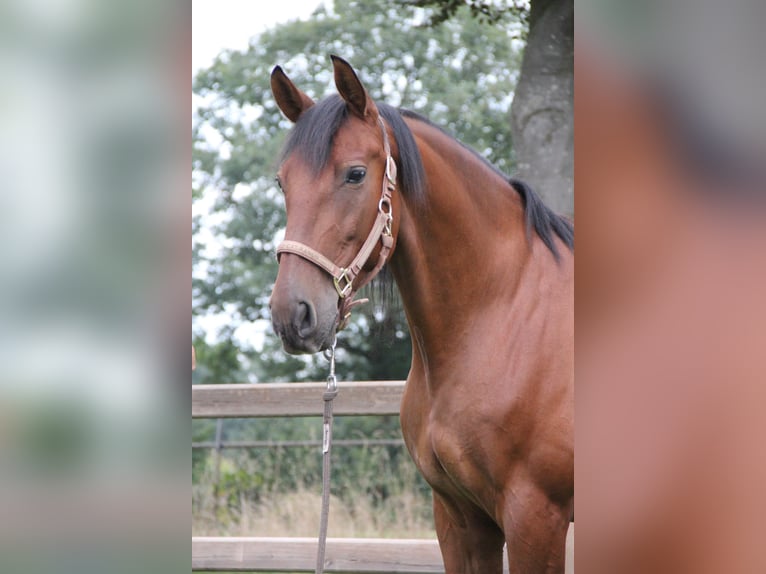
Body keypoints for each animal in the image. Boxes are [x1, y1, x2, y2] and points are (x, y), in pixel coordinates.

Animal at [270, 55, 576, 574]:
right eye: (282, 181)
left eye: (355, 174)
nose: (292, 314)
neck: (503, 314)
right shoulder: (459, 517)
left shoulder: (536, 517)